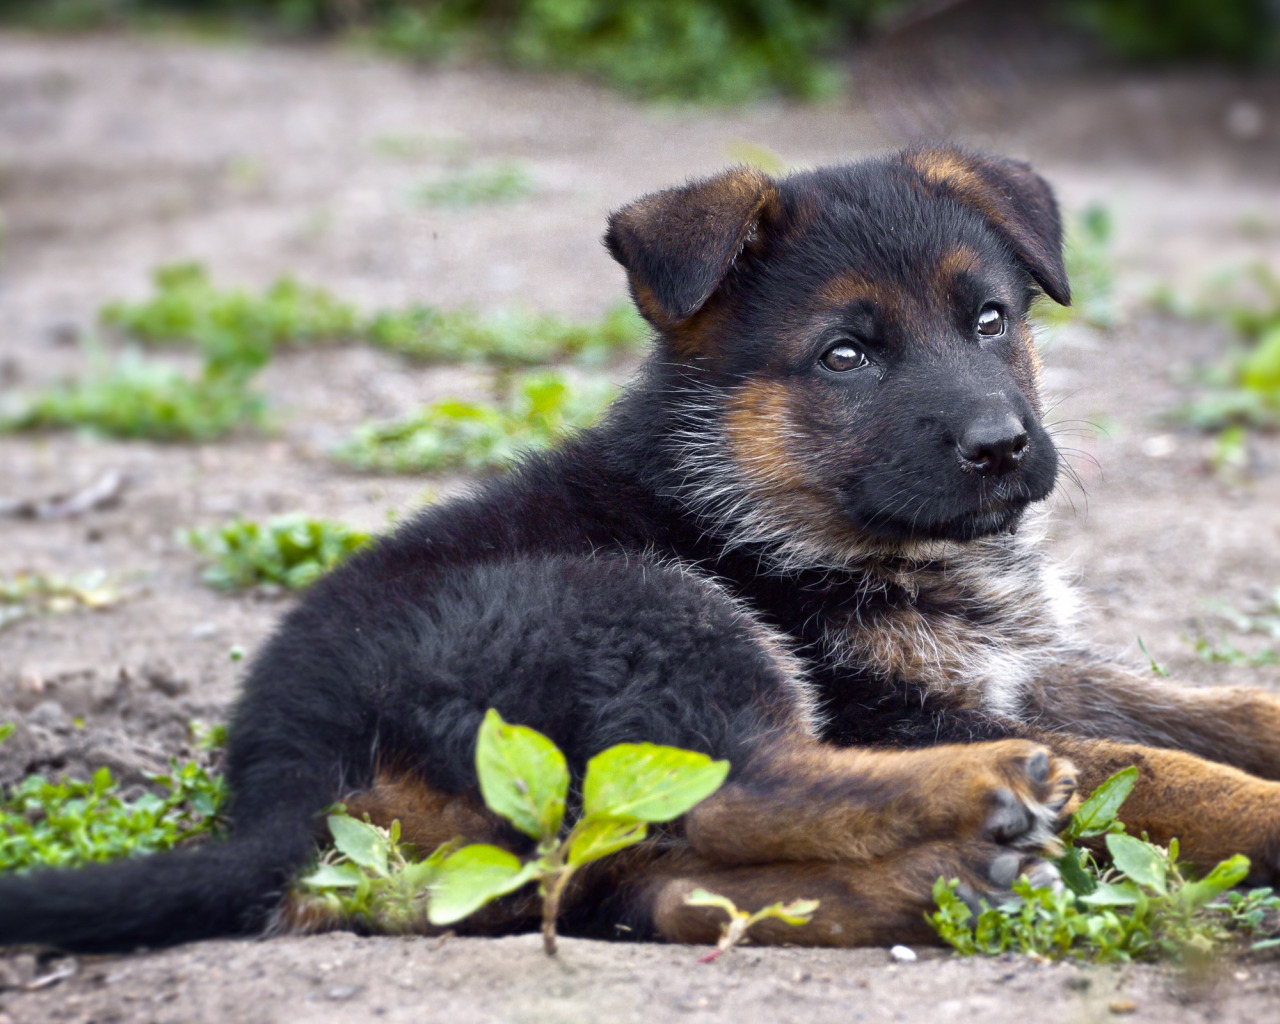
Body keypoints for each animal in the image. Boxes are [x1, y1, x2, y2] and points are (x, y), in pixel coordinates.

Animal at [2, 149, 1280, 952]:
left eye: (989, 321)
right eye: (844, 356)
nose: (1000, 445)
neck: (769, 507)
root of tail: (283, 780)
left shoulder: (1018, 666)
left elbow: (1209, 708)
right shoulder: (907, 704)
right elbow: (1155, 766)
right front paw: (1255, 813)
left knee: (661, 876)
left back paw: (930, 889)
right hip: (641, 608)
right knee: (744, 781)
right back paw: (981, 802)